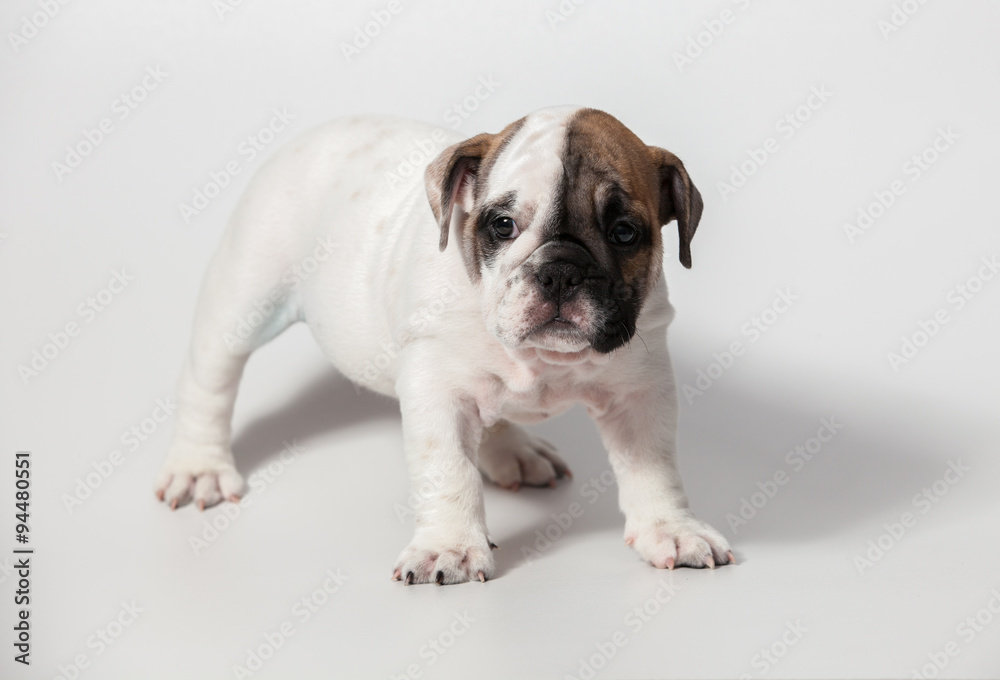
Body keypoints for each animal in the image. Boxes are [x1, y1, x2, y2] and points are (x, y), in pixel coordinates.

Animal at [156, 106, 736, 584]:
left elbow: (654, 467)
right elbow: (449, 471)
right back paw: (199, 468)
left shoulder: (641, 393)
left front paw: (673, 529)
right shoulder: (437, 394)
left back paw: (514, 452)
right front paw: (450, 549)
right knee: (210, 379)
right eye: (502, 225)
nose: (560, 272)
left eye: (624, 233)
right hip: (244, 297)